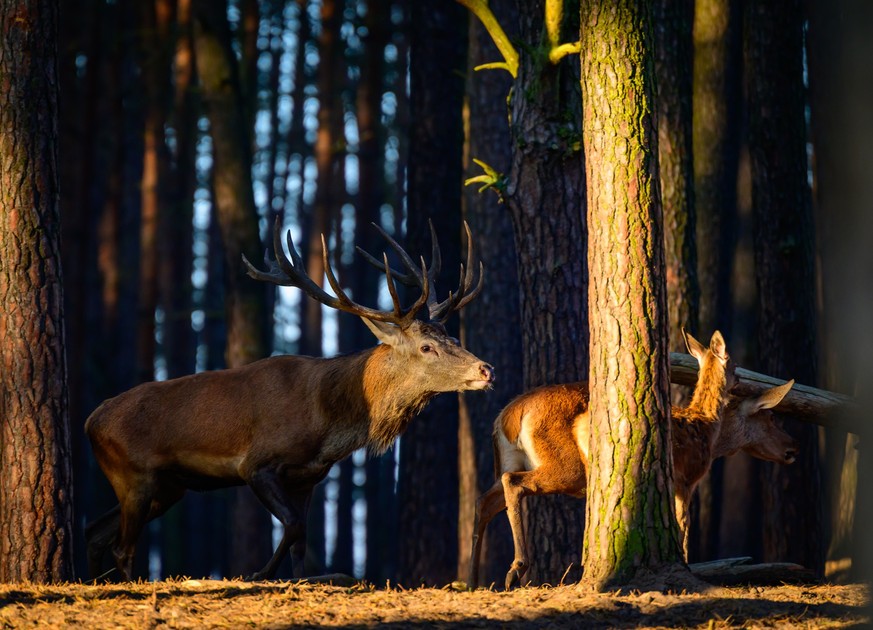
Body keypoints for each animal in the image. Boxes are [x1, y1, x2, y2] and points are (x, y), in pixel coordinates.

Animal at [85, 218, 495, 582]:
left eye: (453, 339)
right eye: (426, 347)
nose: (486, 369)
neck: (328, 422)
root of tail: (91, 420)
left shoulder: (309, 478)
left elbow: (302, 542)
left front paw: (296, 578)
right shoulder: (256, 464)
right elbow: (294, 526)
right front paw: (258, 573)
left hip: (168, 486)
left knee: (94, 532)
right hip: (133, 473)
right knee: (122, 547)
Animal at [469, 330, 798, 590]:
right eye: (770, 416)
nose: (793, 449)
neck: (708, 429)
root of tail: (509, 415)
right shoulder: (686, 479)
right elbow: (683, 523)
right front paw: (687, 566)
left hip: (511, 460)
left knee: (485, 499)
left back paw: (473, 580)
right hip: (566, 468)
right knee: (513, 484)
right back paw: (516, 569)